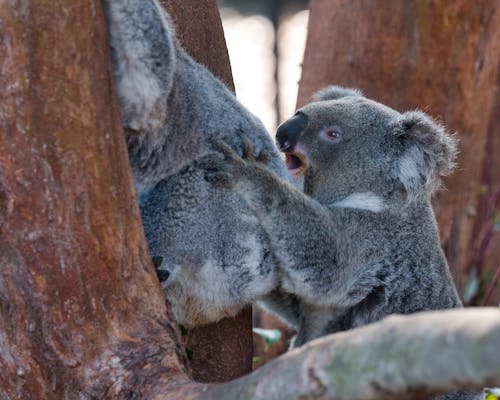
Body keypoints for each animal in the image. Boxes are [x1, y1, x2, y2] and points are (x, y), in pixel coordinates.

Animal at [198, 85, 460, 346]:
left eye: (333, 134)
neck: (374, 196)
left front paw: (248, 171)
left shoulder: (373, 241)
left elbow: (323, 262)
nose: (282, 134)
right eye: (302, 111)